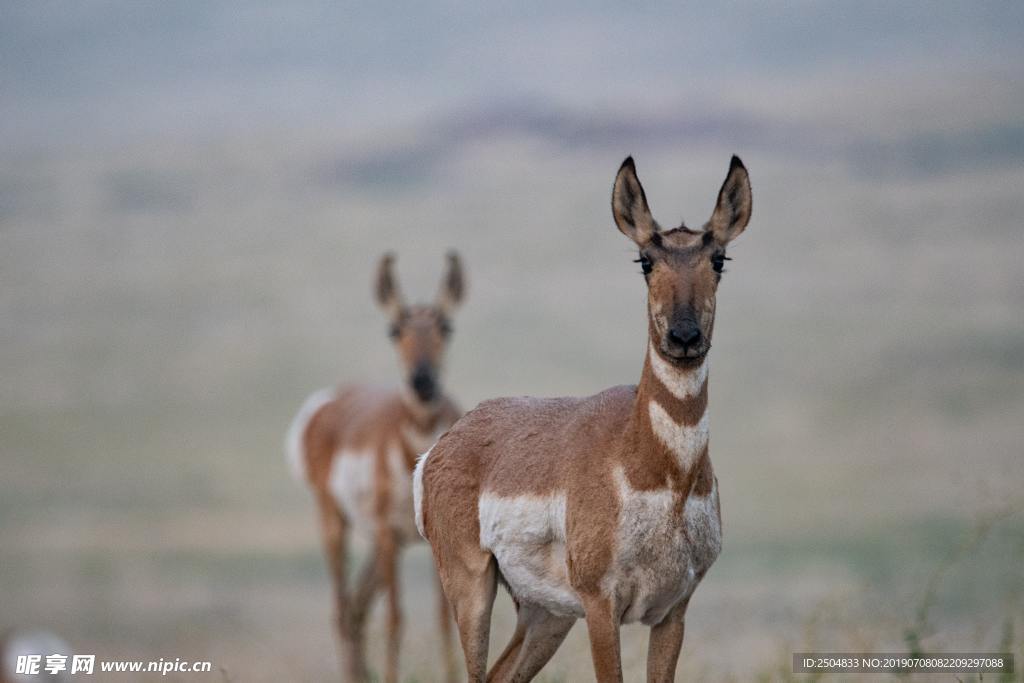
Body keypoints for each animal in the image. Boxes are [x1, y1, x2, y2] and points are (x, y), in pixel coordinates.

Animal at [287, 252, 465, 683]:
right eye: (394, 329)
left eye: (446, 327)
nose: (422, 381)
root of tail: (329, 399)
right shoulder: (388, 535)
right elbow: (396, 620)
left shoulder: (436, 539)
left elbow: (443, 618)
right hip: (337, 525)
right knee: (342, 608)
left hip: (377, 545)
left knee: (356, 606)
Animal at [413, 156, 752, 682]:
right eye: (644, 261)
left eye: (719, 260)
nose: (684, 337)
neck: (661, 474)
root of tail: (442, 445)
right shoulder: (599, 605)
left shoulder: (673, 612)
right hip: (471, 586)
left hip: (546, 614)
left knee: (502, 674)